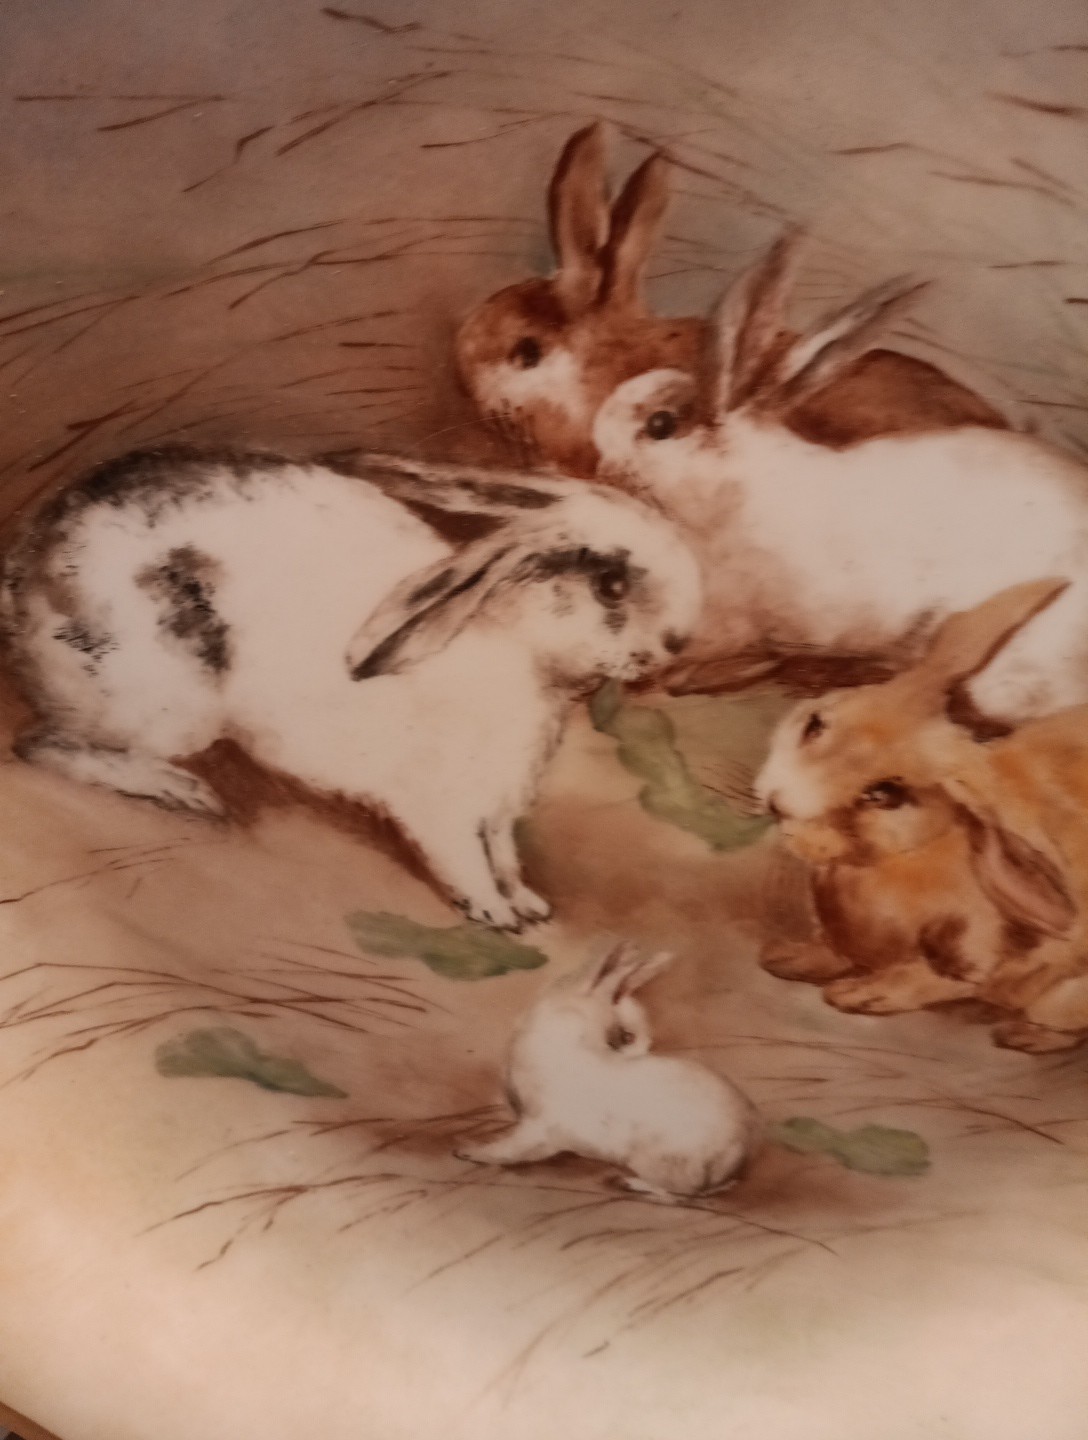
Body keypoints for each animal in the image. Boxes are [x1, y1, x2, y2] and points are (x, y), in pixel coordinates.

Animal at [1, 445, 701, 933]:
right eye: (612, 586)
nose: (680, 643)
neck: (515, 650)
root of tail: (23, 571)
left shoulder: (498, 809)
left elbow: (503, 855)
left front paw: (529, 903)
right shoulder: (442, 811)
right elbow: (468, 863)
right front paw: (497, 917)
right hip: (164, 707)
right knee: (44, 746)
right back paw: (181, 790)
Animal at [456, 942, 761, 1199]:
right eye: (627, 1037)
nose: (640, 1053)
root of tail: (735, 1156)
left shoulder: (540, 1128)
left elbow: (512, 1150)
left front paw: (469, 1152)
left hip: (654, 1161)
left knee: (679, 1193)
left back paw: (628, 1183)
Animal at [754, 578, 1088, 1054]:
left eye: (885, 794)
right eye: (815, 724)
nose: (779, 803)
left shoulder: (983, 952)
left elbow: (937, 978)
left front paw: (859, 995)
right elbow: (832, 948)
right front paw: (788, 958)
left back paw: (1022, 1035)